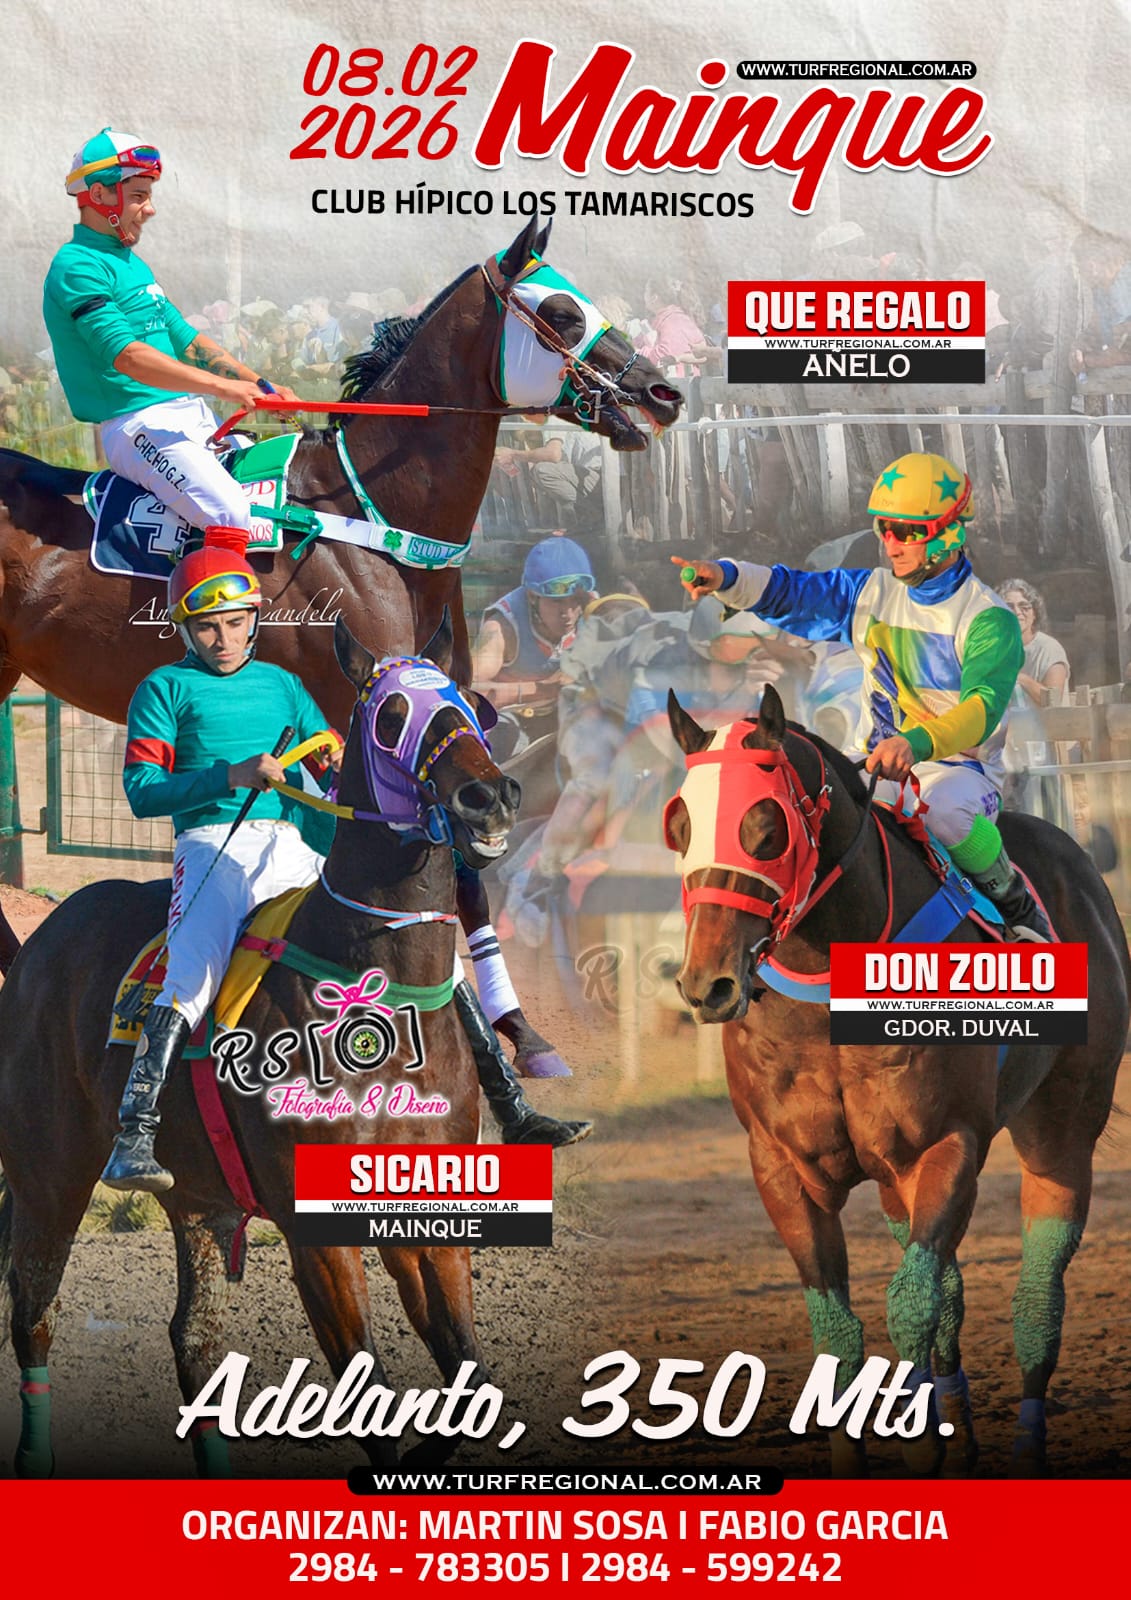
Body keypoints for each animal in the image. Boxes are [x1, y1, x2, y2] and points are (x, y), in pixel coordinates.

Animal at [0, 213, 683, 1071]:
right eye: (560, 311)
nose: (663, 392)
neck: (369, 521)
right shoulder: (353, 712)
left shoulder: (441, 711)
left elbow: (466, 870)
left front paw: (517, 1033)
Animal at [0, 614, 526, 1477]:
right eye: (389, 717)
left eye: (470, 707)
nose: (487, 794)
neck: (377, 994)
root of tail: (40, 938)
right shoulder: (316, 1230)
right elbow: (370, 1389)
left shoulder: (425, 1210)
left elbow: (467, 1377)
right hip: (49, 1173)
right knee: (34, 1315)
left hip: (199, 1200)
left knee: (194, 1339)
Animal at [663, 684, 1128, 1476]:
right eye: (681, 824)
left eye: (765, 827)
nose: (707, 983)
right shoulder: (780, 1164)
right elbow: (840, 1327)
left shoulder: (944, 1146)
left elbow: (911, 1306)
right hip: (888, 1183)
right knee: (949, 1288)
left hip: (1063, 1128)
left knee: (1037, 1291)